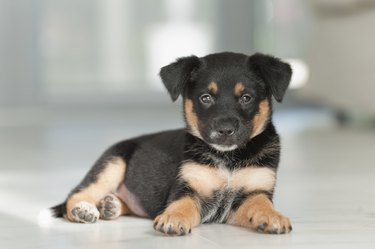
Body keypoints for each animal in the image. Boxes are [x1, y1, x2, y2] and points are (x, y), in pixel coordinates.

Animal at [51, 52, 296, 235]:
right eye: (205, 98)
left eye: (246, 98)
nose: (225, 130)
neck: (227, 158)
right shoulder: (186, 187)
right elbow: (183, 205)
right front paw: (173, 218)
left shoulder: (255, 192)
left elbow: (261, 204)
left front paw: (273, 217)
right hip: (112, 163)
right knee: (75, 194)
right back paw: (84, 210)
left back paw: (109, 205)